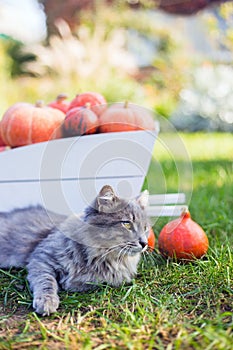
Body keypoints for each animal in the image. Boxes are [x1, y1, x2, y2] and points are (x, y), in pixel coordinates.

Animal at [0, 186, 149, 318]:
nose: (144, 243)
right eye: (127, 224)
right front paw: (47, 302)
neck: (98, 257)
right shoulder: (42, 258)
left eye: (145, 228)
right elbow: (46, 282)